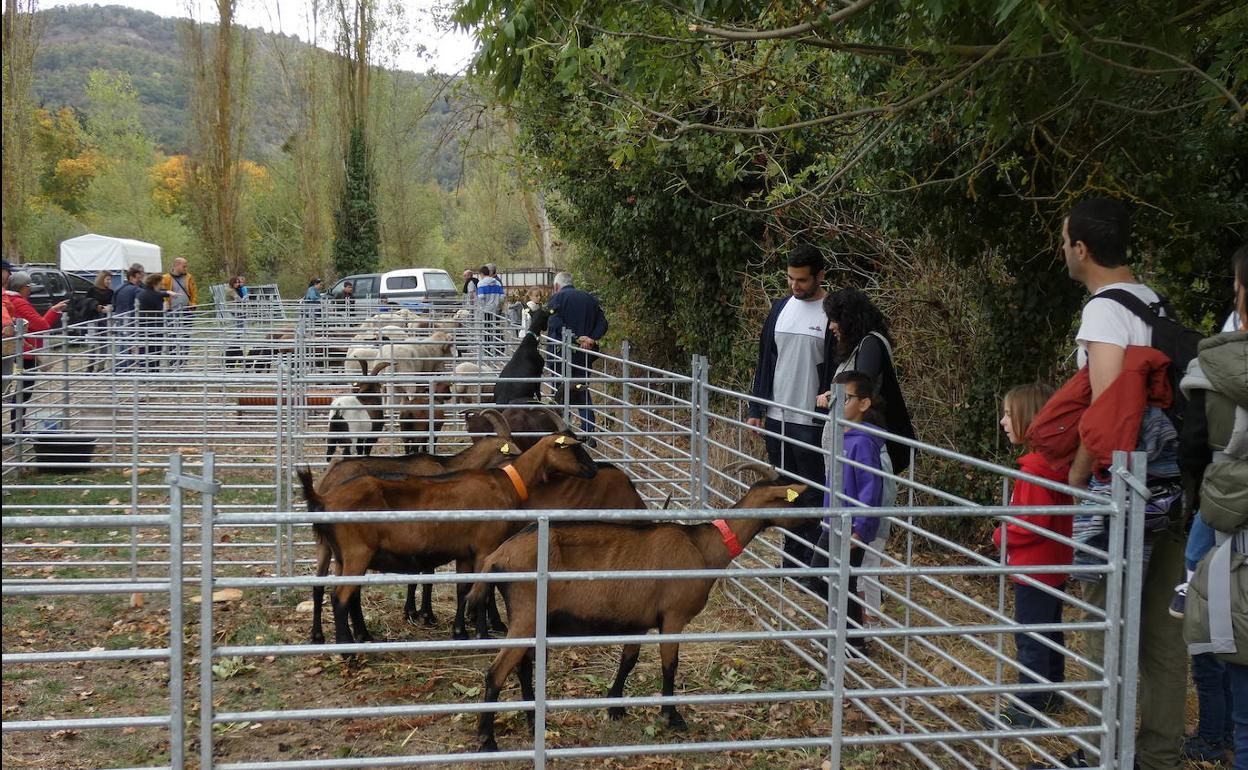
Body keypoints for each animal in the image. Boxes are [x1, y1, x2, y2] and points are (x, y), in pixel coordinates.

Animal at [299, 431, 596, 643]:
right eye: (574, 448)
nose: (594, 470)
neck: (507, 483)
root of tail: (324, 497)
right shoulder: (485, 547)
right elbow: (481, 591)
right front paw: (482, 634)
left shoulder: (465, 551)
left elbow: (463, 590)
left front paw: (459, 632)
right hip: (356, 553)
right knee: (340, 597)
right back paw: (347, 648)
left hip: (340, 554)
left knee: (337, 592)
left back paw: (355, 636)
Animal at [469, 459, 808, 748]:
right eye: (794, 500)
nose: (814, 525)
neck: (703, 547)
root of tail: (498, 556)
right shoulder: (673, 616)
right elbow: (670, 665)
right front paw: (672, 716)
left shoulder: (639, 620)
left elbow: (628, 660)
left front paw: (615, 705)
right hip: (526, 613)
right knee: (496, 672)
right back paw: (488, 739)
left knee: (522, 666)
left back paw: (531, 720)